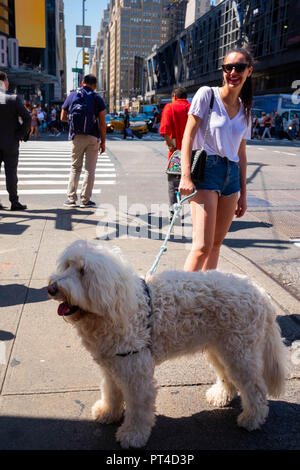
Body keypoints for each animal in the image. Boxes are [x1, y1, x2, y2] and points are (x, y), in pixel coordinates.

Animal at [48, 241, 288, 450]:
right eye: (67, 265)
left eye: (83, 271)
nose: (51, 288)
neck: (117, 307)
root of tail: (260, 293)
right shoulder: (113, 364)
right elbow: (111, 392)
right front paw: (107, 413)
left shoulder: (136, 372)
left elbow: (138, 408)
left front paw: (132, 435)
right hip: (220, 348)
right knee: (227, 376)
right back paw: (221, 395)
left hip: (240, 351)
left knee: (255, 388)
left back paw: (251, 419)